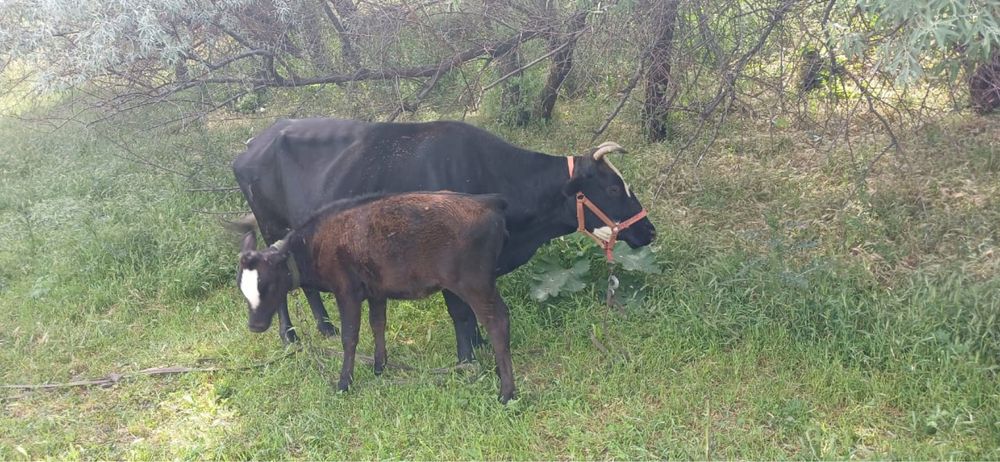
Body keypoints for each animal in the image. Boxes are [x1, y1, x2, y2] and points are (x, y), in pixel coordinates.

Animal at [232, 118, 656, 363]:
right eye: (613, 188)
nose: (649, 230)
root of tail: (254, 142)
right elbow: (460, 312)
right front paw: (467, 359)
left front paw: (480, 346)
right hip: (271, 226)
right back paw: (290, 335)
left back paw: (325, 327)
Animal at [232, 192, 517, 402]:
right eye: (242, 288)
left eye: (268, 285)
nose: (255, 325)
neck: (313, 245)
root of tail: (489, 201)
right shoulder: (376, 290)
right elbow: (378, 324)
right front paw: (380, 366)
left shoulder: (347, 291)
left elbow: (350, 338)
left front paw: (344, 382)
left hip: (475, 284)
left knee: (498, 322)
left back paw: (507, 392)